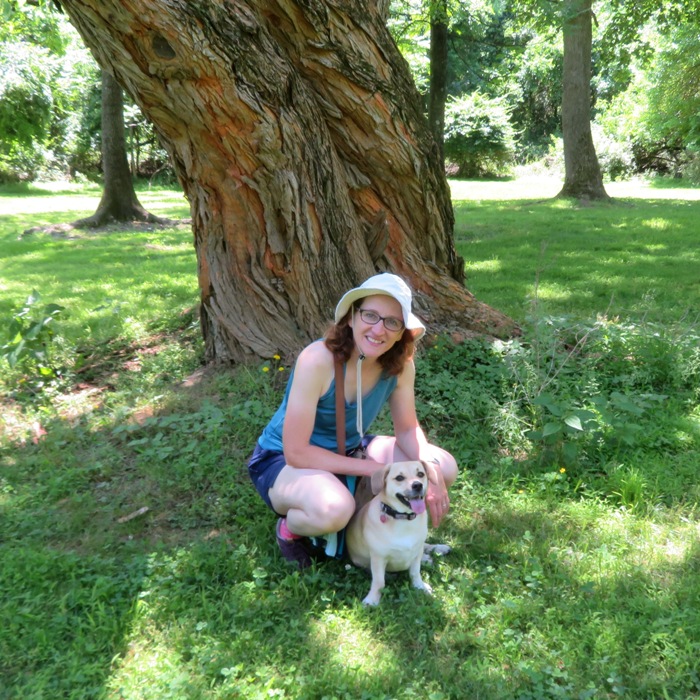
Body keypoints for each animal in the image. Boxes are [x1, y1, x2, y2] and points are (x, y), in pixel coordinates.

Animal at [348, 460, 440, 608]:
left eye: (420, 474)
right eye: (399, 478)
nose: (417, 485)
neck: (403, 519)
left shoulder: (416, 552)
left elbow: (415, 573)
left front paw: (420, 586)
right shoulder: (378, 558)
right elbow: (379, 582)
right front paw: (372, 599)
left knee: (426, 546)